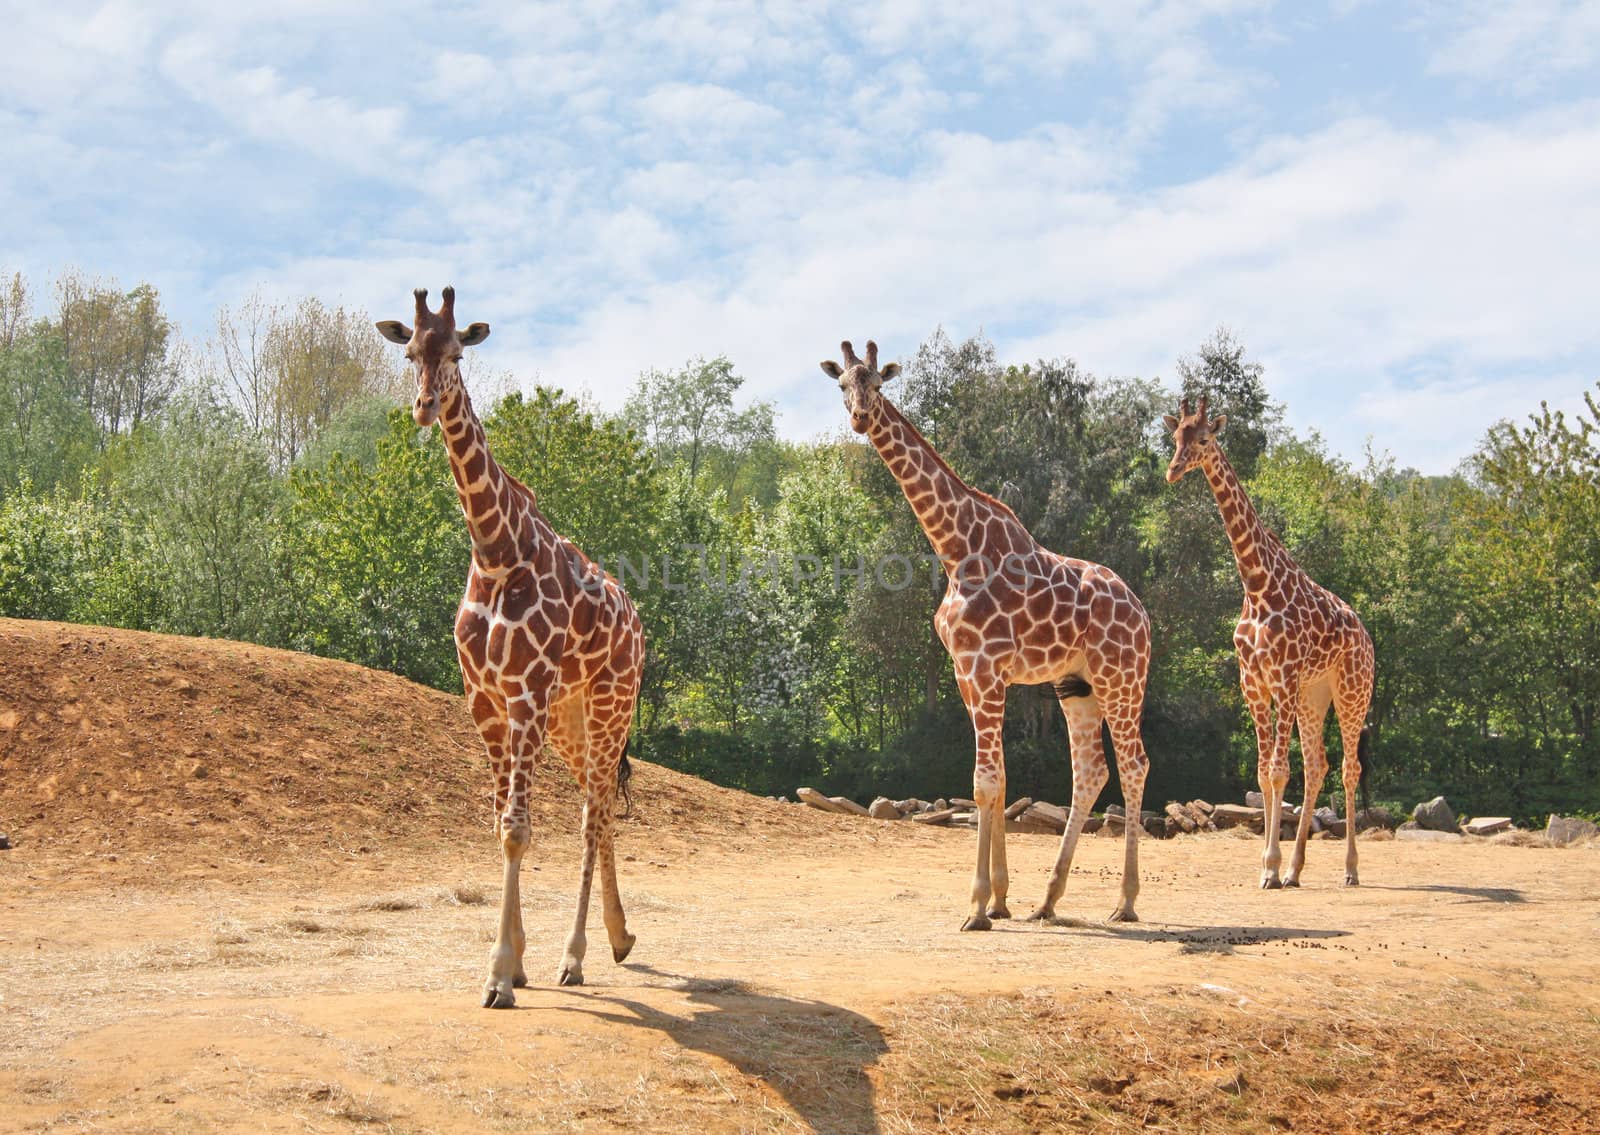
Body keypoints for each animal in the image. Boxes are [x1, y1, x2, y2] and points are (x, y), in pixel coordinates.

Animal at [377, 288, 646, 1005]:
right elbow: (501, 821)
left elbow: (518, 830)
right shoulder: (485, 699)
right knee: (598, 805)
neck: (494, 552)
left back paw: (577, 955)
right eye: (410, 353)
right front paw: (515, 961)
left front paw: (500, 973)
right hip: (569, 716)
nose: (423, 407)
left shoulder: (523, 694)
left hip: (611, 703)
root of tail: (638, 623)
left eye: (457, 352)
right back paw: (619, 938)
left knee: (593, 813)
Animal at [825, 340, 1152, 928]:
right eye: (842, 384)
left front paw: (976, 905)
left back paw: (1126, 901)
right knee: (1090, 772)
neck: (955, 550)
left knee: (1134, 766)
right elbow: (997, 783)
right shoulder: (969, 674)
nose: (860, 418)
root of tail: (1142, 612)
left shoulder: (986, 668)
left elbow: (986, 784)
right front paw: (1000, 899)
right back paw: (1048, 900)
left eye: (877, 385)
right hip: (1077, 684)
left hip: (1122, 678)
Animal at [1164, 397, 1376, 883]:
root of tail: (1366, 636)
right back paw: (1298, 870)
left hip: (1352, 690)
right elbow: (1263, 773)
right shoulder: (1254, 682)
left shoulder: (1283, 677)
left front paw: (1271, 868)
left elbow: (1278, 772)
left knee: (1349, 768)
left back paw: (1351, 869)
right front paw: (1270, 864)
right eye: (1175, 436)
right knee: (1317, 765)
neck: (1258, 585)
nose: (1173, 470)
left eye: (1205, 439)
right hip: (1315, 694)